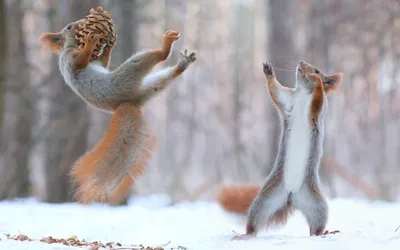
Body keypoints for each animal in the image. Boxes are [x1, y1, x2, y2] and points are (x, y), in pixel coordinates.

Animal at [39, 20, 197, 205]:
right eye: (69, 27)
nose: (80, 23)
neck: (72, 45)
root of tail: (129, 102)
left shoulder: (96, 62)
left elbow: (103, 63)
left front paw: (108, 46)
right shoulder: (70, 59)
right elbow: (80, 61)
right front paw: (91, 42)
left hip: (149, 87)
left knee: (163, 80)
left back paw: (182, 64)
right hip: (127, 74)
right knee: (156, 57)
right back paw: (166, 46)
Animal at [217, 61, 342, 239]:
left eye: (318, 70)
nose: (301, 63)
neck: (304, 93)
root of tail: (291, 196)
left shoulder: (318, 108)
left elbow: (319, 96)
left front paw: (317, 81)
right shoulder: (288, 101)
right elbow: (276, 91)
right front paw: (269, 72)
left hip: (317, 205)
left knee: (316, 227)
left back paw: (324, 232)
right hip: (265, 200)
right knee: (255, 221)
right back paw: (245, 235)